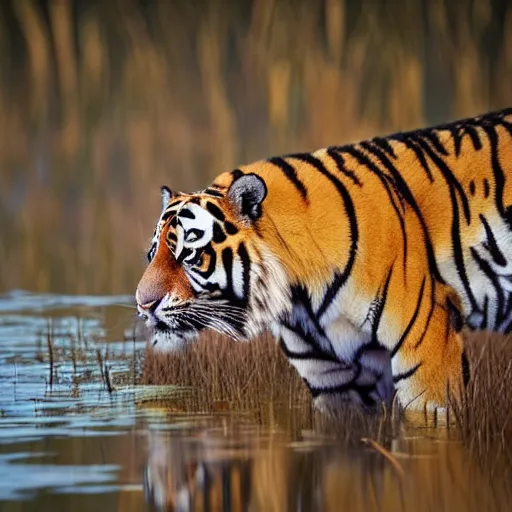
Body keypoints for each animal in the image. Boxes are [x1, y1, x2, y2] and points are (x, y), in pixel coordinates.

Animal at [136, 107, 512, 412]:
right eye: (152, 256)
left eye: (189, 254)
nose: (143, 305)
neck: (298, 300)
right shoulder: (335, 379)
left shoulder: (427, 344)